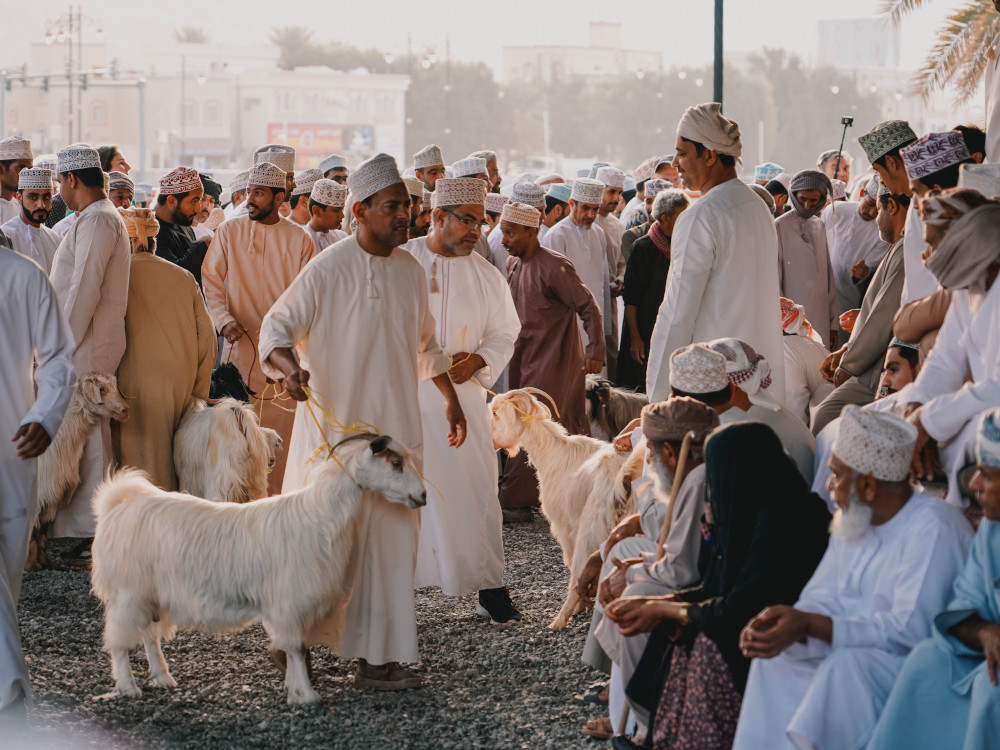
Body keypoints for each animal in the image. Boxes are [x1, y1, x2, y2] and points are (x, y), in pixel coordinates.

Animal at [26, 374, 130, 572]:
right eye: (101, 389)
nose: (125, 410)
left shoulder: (52, 493)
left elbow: (43, 529)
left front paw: (45, 562)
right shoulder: (39, 493)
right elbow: (34, 530)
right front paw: (31, 565)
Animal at [89, 434, 426, 704]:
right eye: (396, 463)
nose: (422, 496)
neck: (320, 514)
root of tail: (119, 503)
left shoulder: (287, 605)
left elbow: (291, 647)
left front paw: (293, 689)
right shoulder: (289, 600)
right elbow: (296, 648)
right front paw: (307, 696)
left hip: (149, 594)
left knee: (148, 636)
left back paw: (162, 677)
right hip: (128, 592)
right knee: (118, 641)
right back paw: (129, 687)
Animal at [490, 390, 640, 632]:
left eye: (495, 413)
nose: (491, 441)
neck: (554, 452)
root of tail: (623, 477)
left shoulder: (564, 525)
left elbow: (570, 563)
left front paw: (579, 607)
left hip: (590, 531)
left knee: (578, 570)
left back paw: (559, 620)